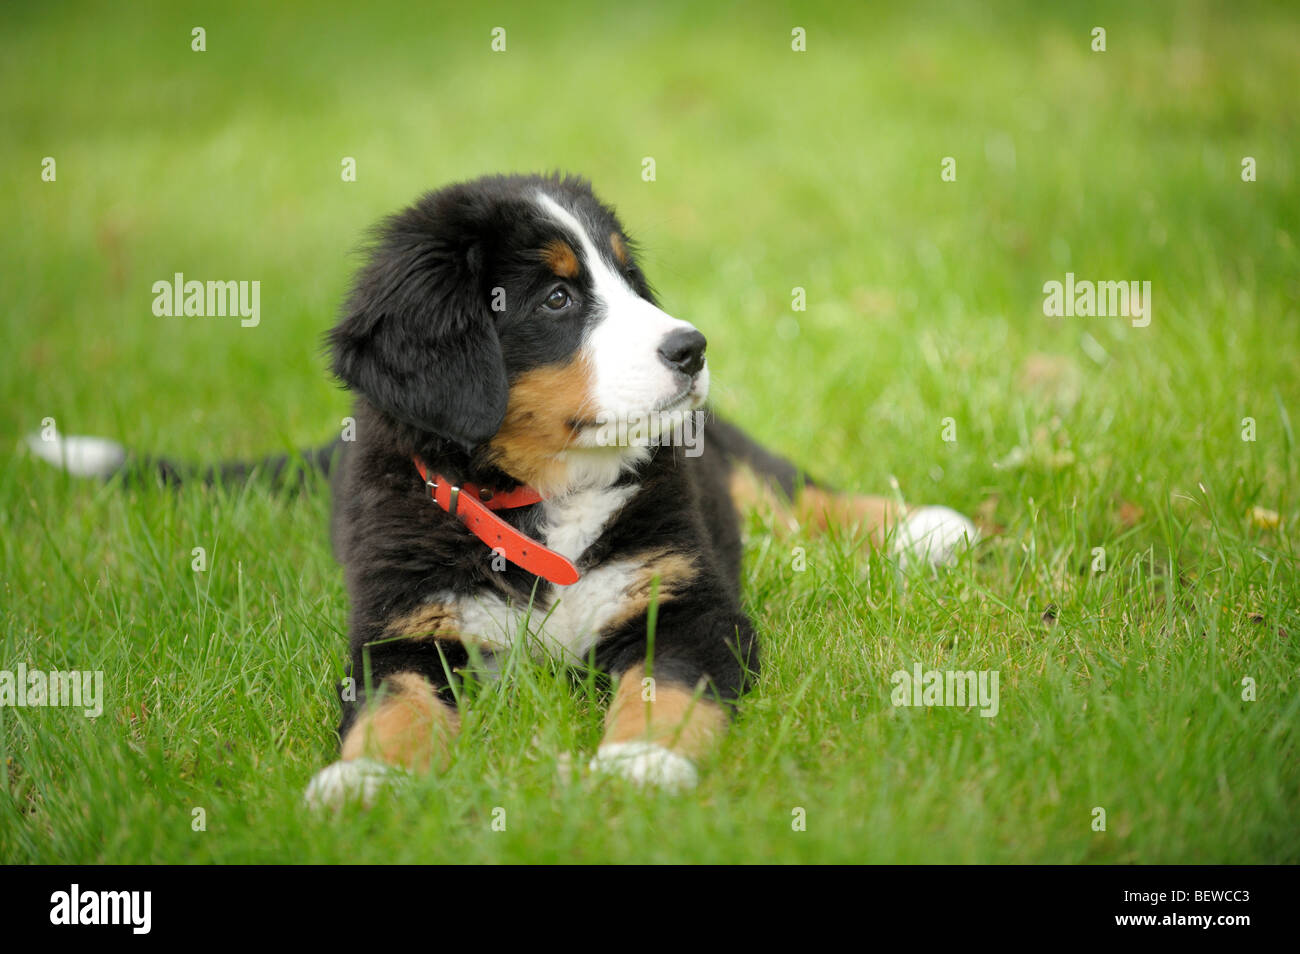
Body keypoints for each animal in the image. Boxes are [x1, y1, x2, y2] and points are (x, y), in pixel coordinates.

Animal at [27, 171, 977, 805]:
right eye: (556, 298)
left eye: (628, 280)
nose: (692, 347)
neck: (541, 499)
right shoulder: (403, 628)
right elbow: (395, 705)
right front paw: (363, 777)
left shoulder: (686, 600)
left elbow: (664, 684)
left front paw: (641, 762)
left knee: (783, 484)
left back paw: (924, 528)